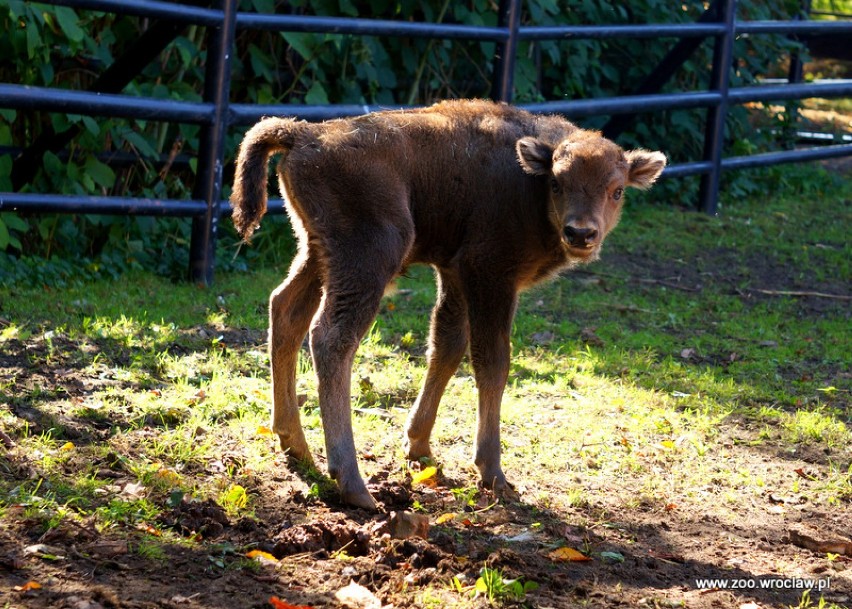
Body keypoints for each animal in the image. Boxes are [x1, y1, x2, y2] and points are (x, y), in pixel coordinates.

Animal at [231, 100, 664, 508]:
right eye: (557, 184)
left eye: (617, 190)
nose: (580, 233)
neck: (530, 185)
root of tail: (305, 134)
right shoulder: (490, 276)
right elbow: (492, 363)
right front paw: (493, 472)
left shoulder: (454, 274)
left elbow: (447, 348)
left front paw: (418, 445)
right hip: (370, 256)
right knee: (332, 338)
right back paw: (353, 484)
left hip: (316, 251)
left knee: (285, 310)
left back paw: (296, 445)